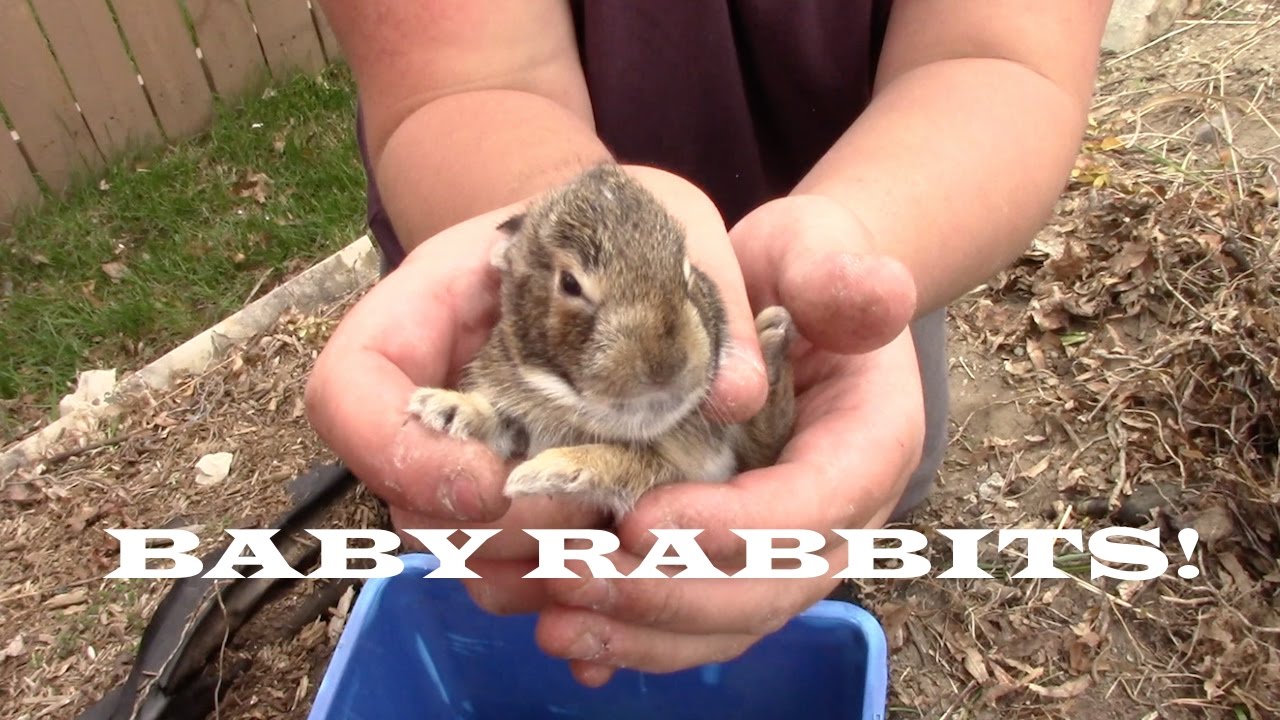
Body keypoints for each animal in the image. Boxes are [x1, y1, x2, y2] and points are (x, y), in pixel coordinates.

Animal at [406, 163, 796, 519]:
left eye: (686, 272)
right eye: (569, 284)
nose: (666, 364)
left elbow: (621, 461)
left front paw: (544, 472)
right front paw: (443, 409)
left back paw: (773, 338)